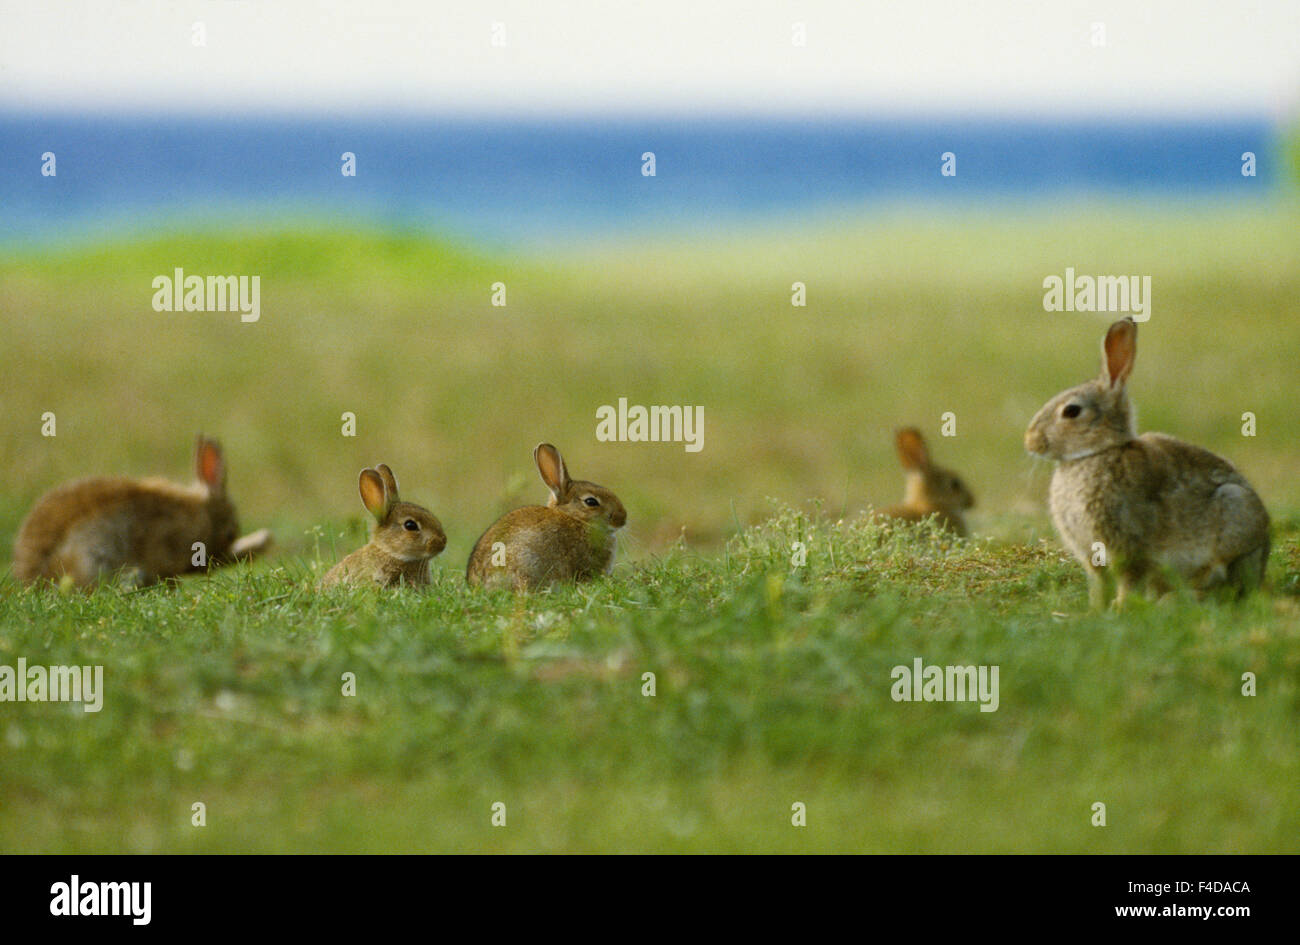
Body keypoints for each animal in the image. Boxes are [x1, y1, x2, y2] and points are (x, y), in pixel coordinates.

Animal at [1024, 317, 1270, 610]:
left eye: (1071, 411)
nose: (1030, 441)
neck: (1095, 453)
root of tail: (1263, 554)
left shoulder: (1127, 544)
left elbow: (1128, 580)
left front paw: (1119, 608)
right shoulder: (1091, 554)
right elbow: (1099, 583)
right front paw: (1095, 610)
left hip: (1233, 509)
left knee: (1223, 583)